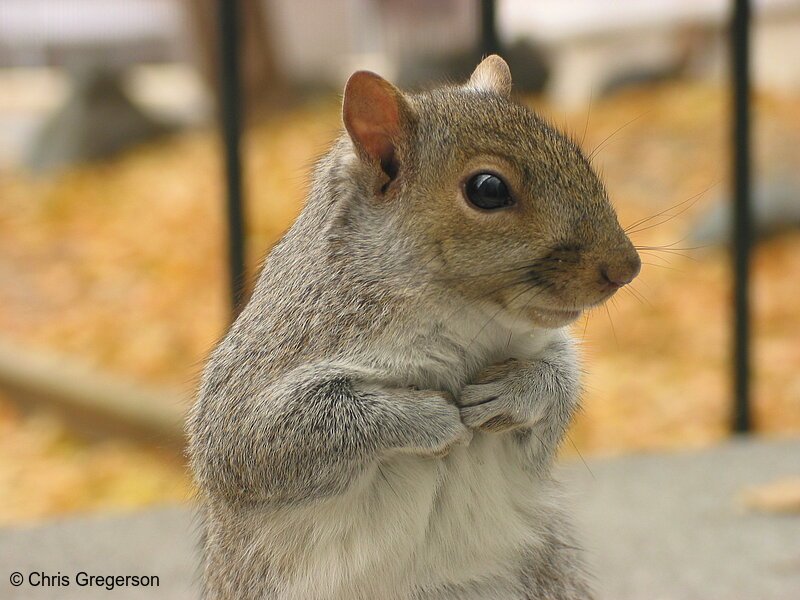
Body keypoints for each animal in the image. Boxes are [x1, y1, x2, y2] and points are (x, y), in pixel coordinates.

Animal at [186, 56, 636, 600]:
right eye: (488, 189)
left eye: (575, 154)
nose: (627, 267)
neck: (464, 317)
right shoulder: (271, 360)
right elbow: (258, 439)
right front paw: (428, 418)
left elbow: (556, 394)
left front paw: (516, 391)